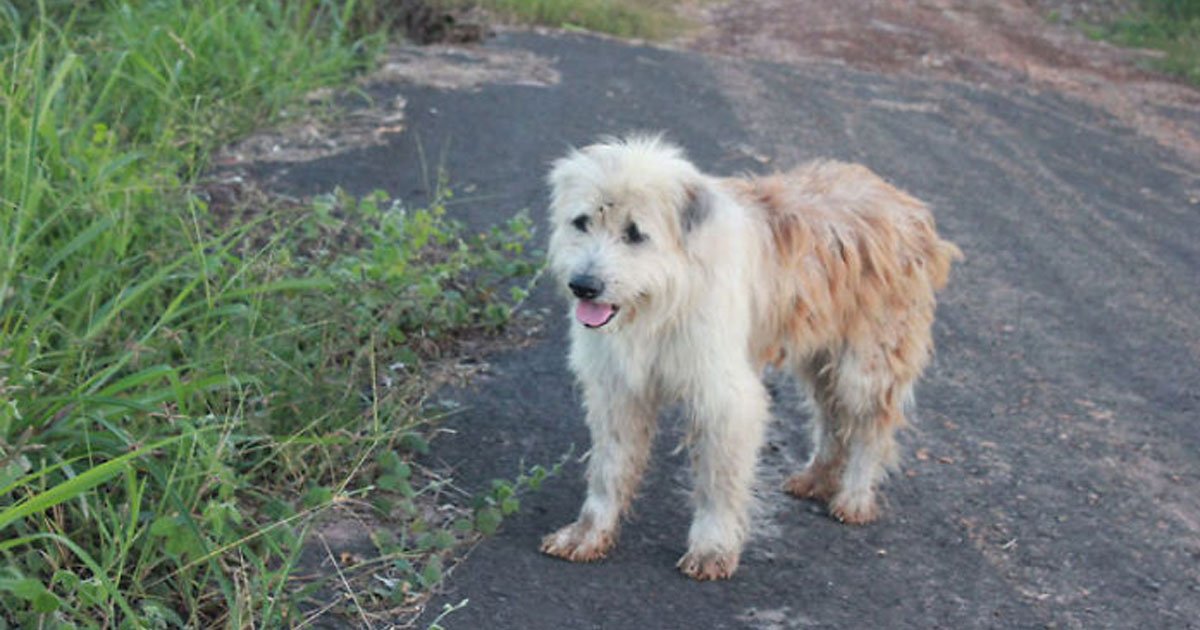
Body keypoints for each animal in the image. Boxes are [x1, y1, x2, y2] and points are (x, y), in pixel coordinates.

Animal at [540, 136, 960, 580]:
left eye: (635, 234)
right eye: (581, 222)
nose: (583, 286)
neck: (665, 298)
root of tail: (902, 201)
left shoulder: (725, 398)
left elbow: (719, 482)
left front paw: (712, 547)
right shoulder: (617, 389)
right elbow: (607, 470)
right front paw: (587, 533)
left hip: (867, 364)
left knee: (869, 426)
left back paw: (855, 496)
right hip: (821, 357)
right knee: (831, 417)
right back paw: (816, 477)